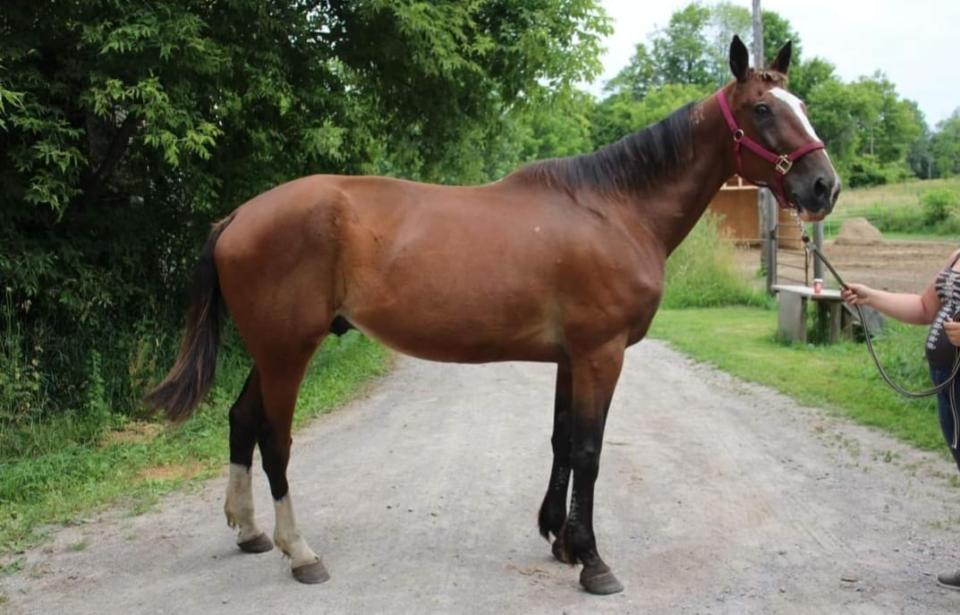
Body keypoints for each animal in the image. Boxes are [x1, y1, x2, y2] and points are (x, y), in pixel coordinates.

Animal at [144, 36, 840, 596]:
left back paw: (249, 532)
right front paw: (594, 562)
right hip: (289, 349)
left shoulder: (572, 357)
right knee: (276, 440)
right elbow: (590, 451)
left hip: (269, 349)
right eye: (763, 109)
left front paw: (560, 539)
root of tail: (239, 215)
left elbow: (562, 441)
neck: (614, 209)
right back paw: (301, 552)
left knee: (242, 420)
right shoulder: (602, 354)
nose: (823, 186)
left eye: (800, 104)